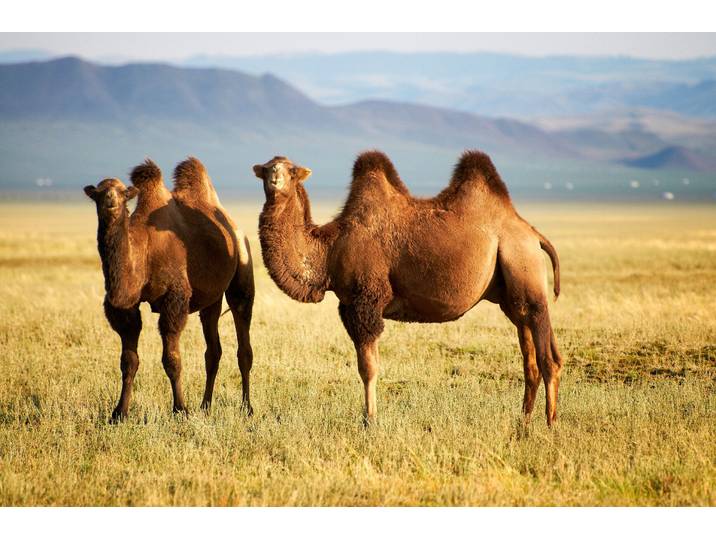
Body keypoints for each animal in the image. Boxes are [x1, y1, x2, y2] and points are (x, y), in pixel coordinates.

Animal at [84, 157, 254, 421]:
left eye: (122, 193)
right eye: (99, 192)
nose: (110, 200)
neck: (143, 249)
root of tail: (234, 227)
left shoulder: (174, 299)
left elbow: (172, 360)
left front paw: (180, 410)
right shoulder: (126, 307)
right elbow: (128, 361)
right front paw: (119, 413)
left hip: (242, 272)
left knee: (243, 343)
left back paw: (247, 408)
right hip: (211, 298)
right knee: (213, 351)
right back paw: (205, 406)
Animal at [253, 150, 564, 426]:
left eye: (292, 171)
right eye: (266, 168)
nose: (275, 178)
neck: (330, 249)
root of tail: (533, 234)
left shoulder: (365, 301)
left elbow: (368, 368)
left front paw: (370, 420)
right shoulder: (348, 306)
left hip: (524, 267)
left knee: (548, 359)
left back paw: (549, 424)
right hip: (512, 296)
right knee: (530, 358)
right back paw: (523, 422)